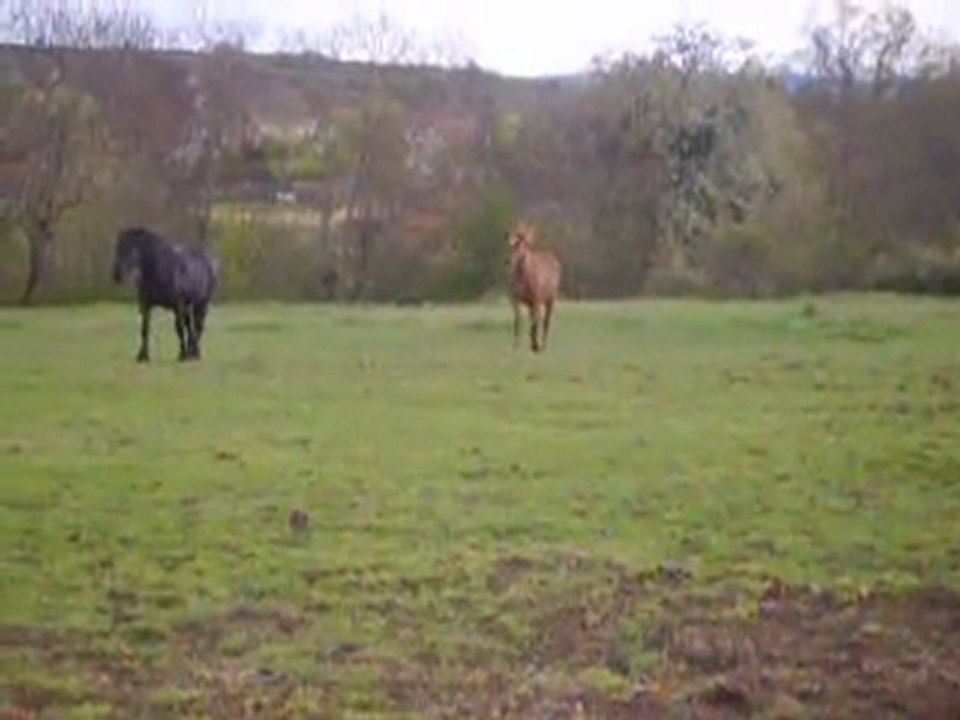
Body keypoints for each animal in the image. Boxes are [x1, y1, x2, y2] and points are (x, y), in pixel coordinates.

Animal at [111, 226, 218, 363]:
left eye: (130, 249)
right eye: (117, 248)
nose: (116, 275)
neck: (159, 269)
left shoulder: (177, 306)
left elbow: (179, 328)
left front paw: (183, 355)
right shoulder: (146, 305)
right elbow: (144, 329)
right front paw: (143, 356)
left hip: (201, 304)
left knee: (198, 326)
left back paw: (193, 353)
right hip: (189, 305)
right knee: (191, 326)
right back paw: (193, 352)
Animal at [507, 220, 562, 353]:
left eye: (523, 245)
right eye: (511, 245)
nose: (508, 261)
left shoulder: (536, 299)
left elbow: (535, 321)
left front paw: (535, 345)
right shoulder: (516, 300)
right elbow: (518, 320)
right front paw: (515, 346)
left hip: (550, 299)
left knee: (545, 320)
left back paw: (543, 344)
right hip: (534, 303)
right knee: (537, 319)